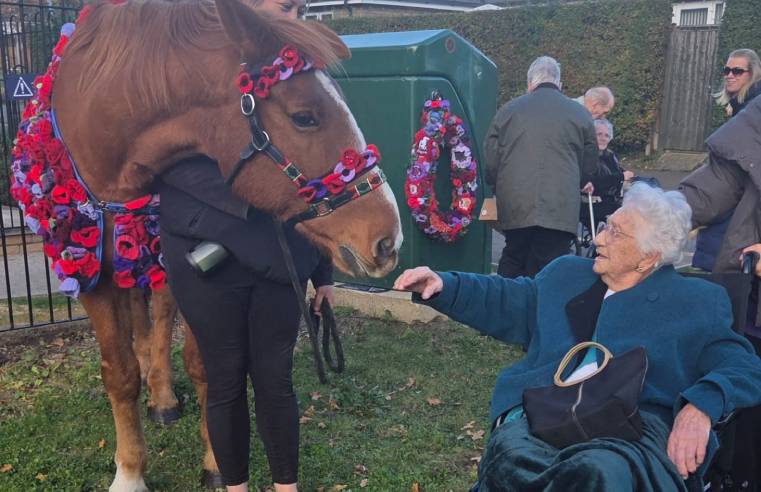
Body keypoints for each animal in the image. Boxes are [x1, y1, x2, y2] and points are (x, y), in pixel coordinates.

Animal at [20, 0, 403, 489]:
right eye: (304, 117)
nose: (388, 238)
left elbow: (204, 368)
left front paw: (214, 461)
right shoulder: (91, 276)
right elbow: (119, 373)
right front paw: (129, 471)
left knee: (160, 317)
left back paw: (162, 395)